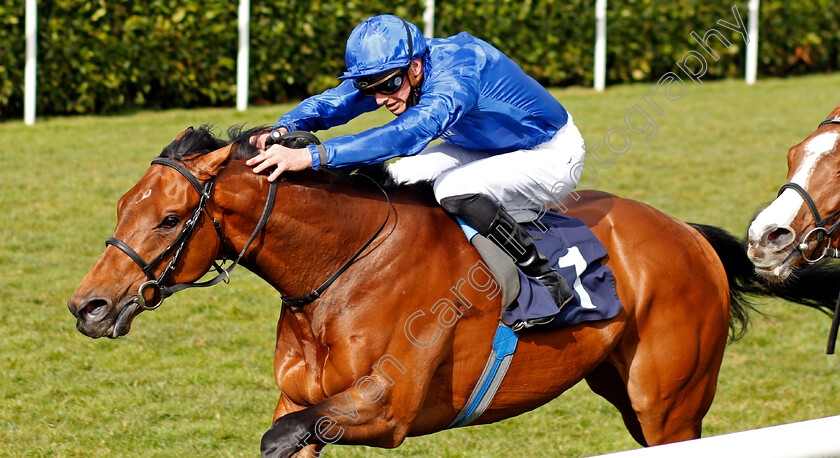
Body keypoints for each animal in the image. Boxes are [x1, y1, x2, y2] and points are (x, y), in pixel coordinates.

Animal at [70, 126, 828, 458]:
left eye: (170, 218)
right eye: (123, 205)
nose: (88, 307)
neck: (342, 269)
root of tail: (690, 235)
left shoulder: (385, 410)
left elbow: (279, 438)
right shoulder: (304, 400)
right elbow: (284, 433)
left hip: (669, 404)